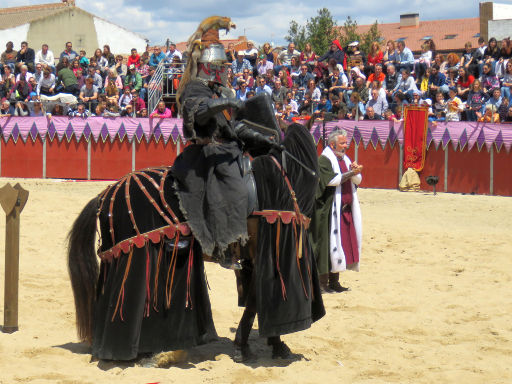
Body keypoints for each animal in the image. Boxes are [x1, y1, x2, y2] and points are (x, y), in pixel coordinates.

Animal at [67, 121, 324, 362]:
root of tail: (105, 194)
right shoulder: (266, 252)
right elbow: (254, 301)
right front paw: (249, 347)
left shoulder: (254, 258)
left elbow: (255, 300)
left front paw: (271, 343)